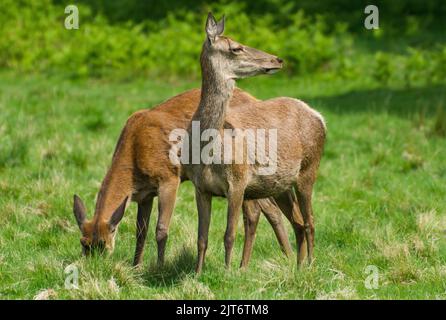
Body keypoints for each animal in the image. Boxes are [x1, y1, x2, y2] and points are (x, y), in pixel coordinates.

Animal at [72, 87, 300, 268]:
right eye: (83, 243)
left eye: (103, 244)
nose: (95, 268)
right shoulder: (144, 195)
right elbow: (140, 232)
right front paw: (135, 266)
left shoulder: (168, 177)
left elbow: (161, 229)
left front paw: (159, 267)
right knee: (270, 208)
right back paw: (288, 257)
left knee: (265, 208)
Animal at [183, 13, 326, 272]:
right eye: (236, 48)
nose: (278, 59)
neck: (207, 150)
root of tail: (318, 116)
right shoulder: (200, 187)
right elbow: (202, 238)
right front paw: (197, 274)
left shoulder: (237, 182)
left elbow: (229, 234)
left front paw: (228, 272)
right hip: (280, 185)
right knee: (299, 222)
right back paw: (298, 267)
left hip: (309, 169)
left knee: (310, 221)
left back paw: (311, 266)